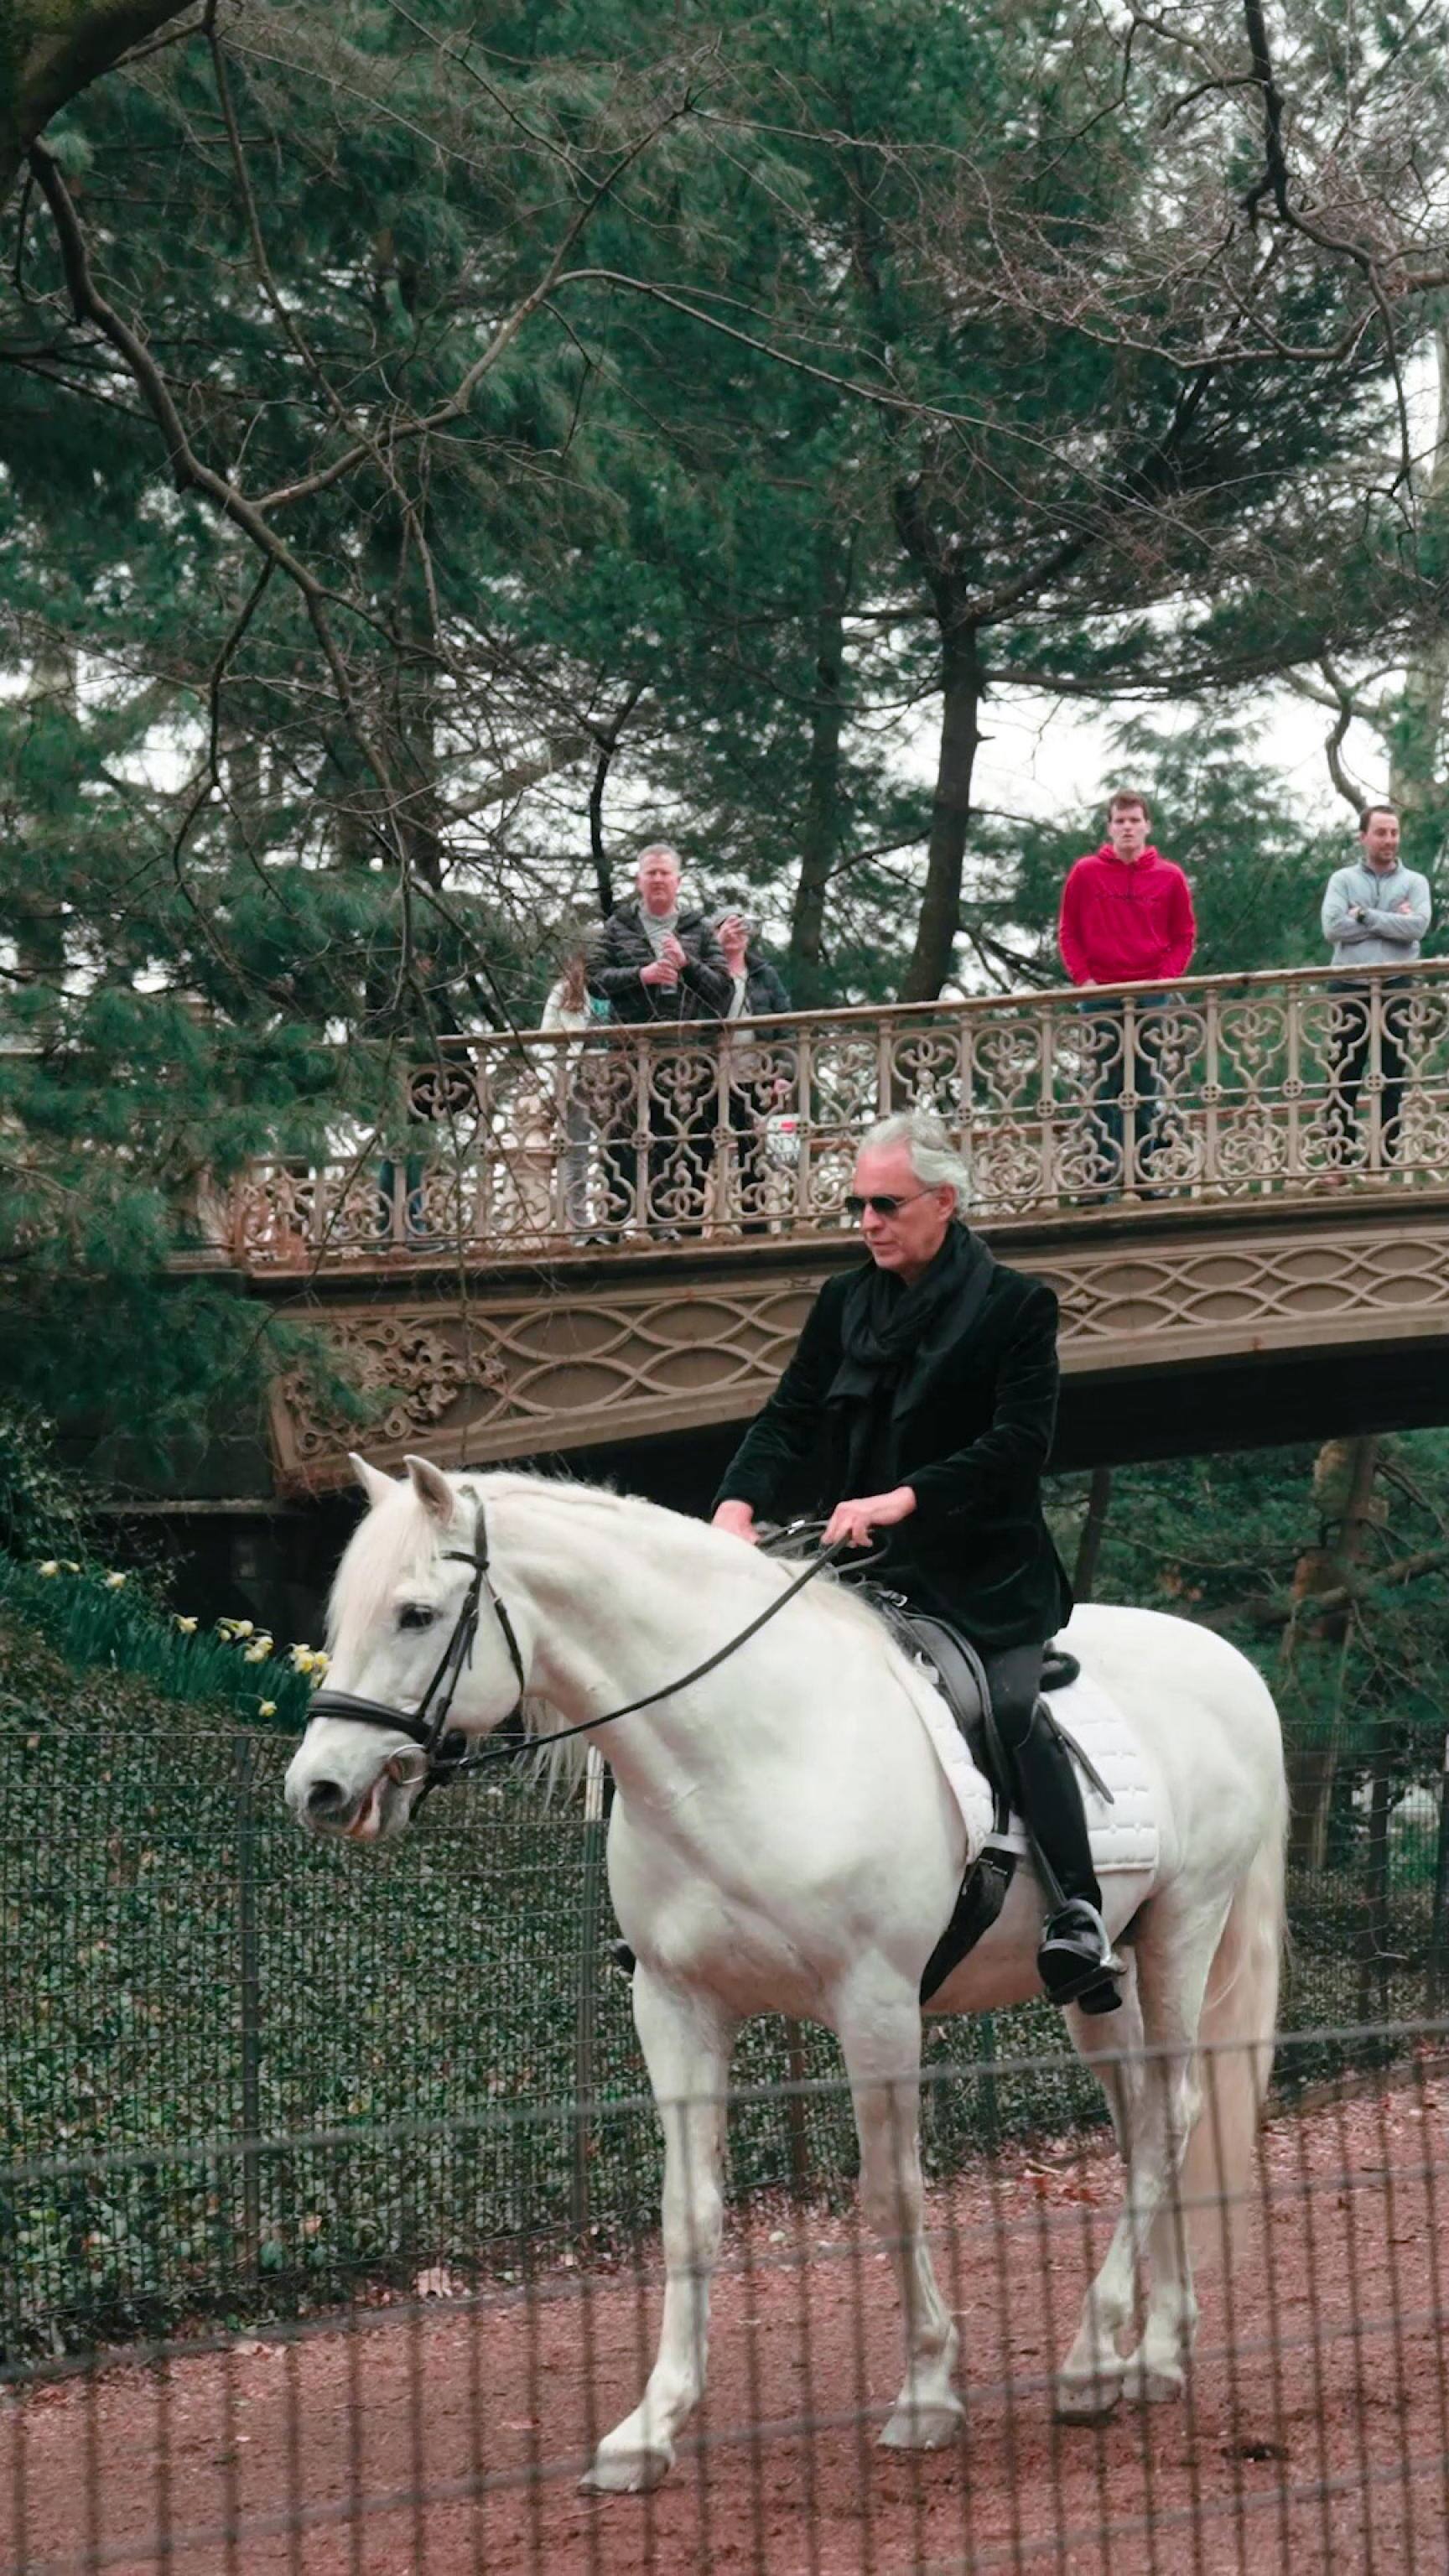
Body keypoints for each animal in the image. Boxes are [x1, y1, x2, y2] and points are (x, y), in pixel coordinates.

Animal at [284, 1462, 1284, 2483]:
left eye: (414, 1614)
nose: (316, 1791)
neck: (745, 1746)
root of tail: (1231, 1665)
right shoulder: (676, 2008)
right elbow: (688, 2213)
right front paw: (650, 2428)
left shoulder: (878, 2008)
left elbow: (893, 2191)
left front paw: (927, 2392)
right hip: (1099, 1982)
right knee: (1140, 2125)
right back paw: (1151, 2352)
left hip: (1182, 1934)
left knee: (1171, 2116)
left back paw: (1095, 2358)